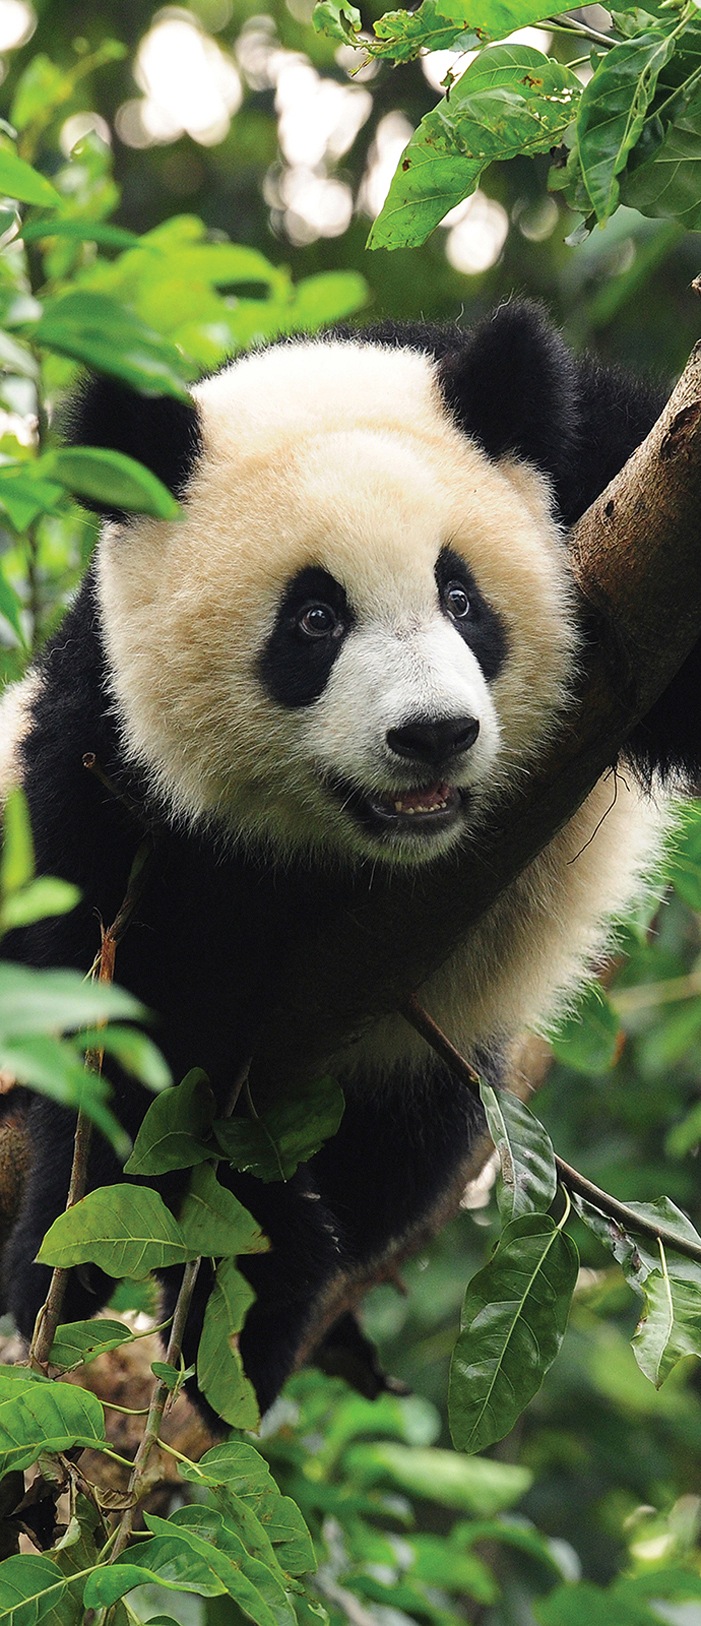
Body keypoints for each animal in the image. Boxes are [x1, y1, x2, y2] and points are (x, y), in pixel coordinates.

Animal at [0, 299, 693, 1416]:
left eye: (460, 598)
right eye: (313, 620)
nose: (433, 735)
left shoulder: (615, 479)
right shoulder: (107, 756)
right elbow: (125, 1026)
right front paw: (80, 1266)